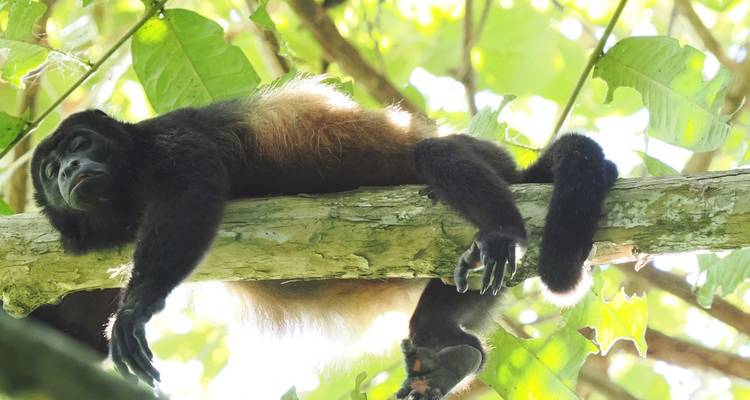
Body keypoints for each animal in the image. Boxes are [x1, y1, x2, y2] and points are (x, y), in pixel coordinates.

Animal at [30, 77, 617, 399]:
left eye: (81, 144)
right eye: (51, 170)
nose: (70, 170)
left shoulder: (170, 139)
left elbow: (194, 189)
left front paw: (134, 313)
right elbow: (71, 331)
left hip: (486, 166)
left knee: (437, 155)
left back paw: (501, 233)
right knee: (442, 314)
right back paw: (447, 355)